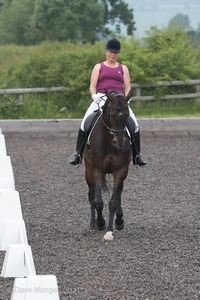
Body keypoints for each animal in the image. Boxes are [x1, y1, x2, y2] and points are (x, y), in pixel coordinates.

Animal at [83, 88, 134, 240]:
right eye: (112, 115)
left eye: (127, 115)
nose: (120, 143)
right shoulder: (97, 169)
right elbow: (98, 202)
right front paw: (100, 223)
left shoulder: (121, 170)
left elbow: (113, 202)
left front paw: (110, 230)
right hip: (88, 170)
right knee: (91, 194)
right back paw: (93, 224)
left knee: (119, 193)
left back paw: (119, 220)